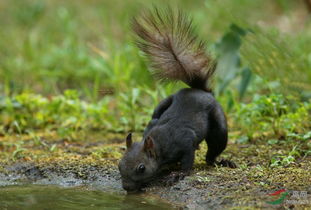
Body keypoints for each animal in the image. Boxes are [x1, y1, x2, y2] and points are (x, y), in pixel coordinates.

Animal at [118, 6, 235, 192]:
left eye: (141, 168)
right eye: (119, 164)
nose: (127, 187)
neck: (158, 143)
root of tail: (201, 91)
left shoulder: (185, 140)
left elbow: (187, 160)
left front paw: (179, 174)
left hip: (218, 124)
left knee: (213, 150)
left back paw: (221, 161)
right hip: (164, 103)